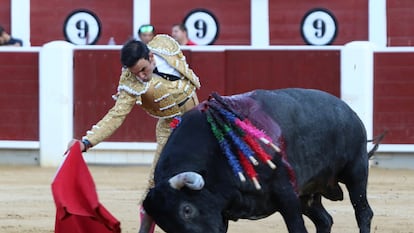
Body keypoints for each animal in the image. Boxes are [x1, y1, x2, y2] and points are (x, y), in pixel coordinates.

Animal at [142, 88, 382, 233]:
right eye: (166, 225)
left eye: (187, 210)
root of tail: (349, 111)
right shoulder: (220, 212)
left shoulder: (285, 192)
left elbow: (296, 227)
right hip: (308, 194)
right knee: (324, 220)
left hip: (356, 171)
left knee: (363, 211)